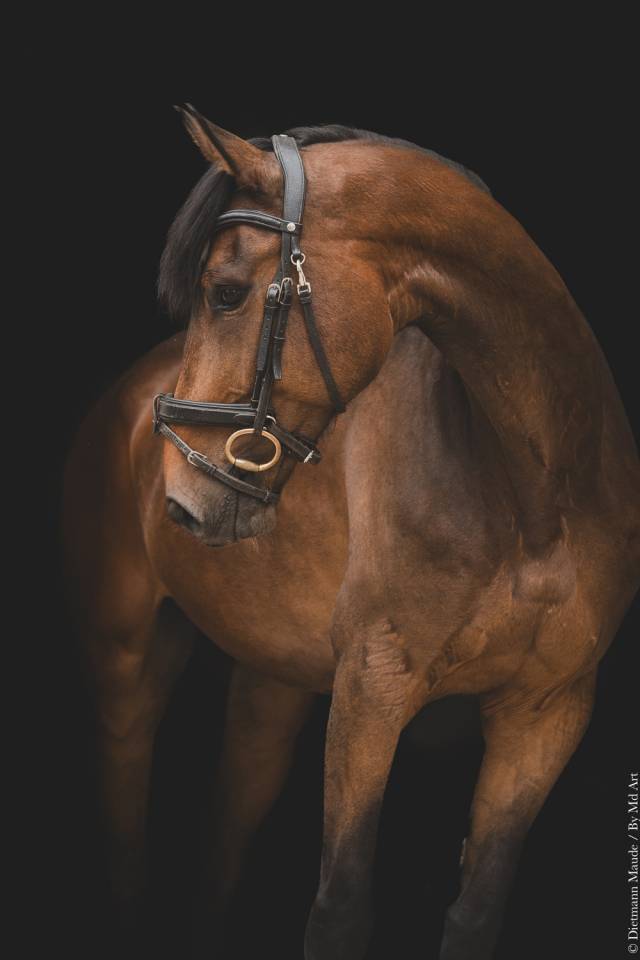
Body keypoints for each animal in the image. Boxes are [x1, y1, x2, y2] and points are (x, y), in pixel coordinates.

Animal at [62, 104, 640, 959]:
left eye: (226, 293)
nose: (184, 501)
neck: (537, 492)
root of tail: (125, 399)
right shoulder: (372, 694)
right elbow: (339, 910)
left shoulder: (546, 711)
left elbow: (475, 911)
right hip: (124, 659)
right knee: (126, 838)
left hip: (272, 682)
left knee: (221, 847)